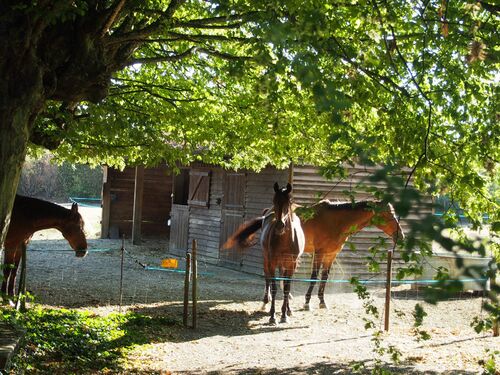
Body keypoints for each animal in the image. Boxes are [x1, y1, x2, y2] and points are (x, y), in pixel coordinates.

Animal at [223, 200, 402, 312]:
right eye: (388, 215)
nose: (400, 235)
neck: (336, 221)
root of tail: (269, 212)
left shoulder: (331, 254)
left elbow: (324, 278)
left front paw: (322, 301)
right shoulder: (319, 253)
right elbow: (314, 277)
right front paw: (307, 302)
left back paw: (287, 296)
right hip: (268, 254)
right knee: (267, 276)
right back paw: (265, 301)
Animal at [224, 184, 304, 324]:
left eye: (288, 202)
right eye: (274, 201)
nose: (280, 226)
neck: (285, 240)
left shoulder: (291, 264)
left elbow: (286, 288)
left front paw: (285, 314)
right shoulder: (271, 262)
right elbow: (274, 286)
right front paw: (272, 316)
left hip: (284, 265)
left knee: (284, 283)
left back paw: (288, 309)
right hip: (266, 260)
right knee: (267, 279)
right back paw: (265, 303)